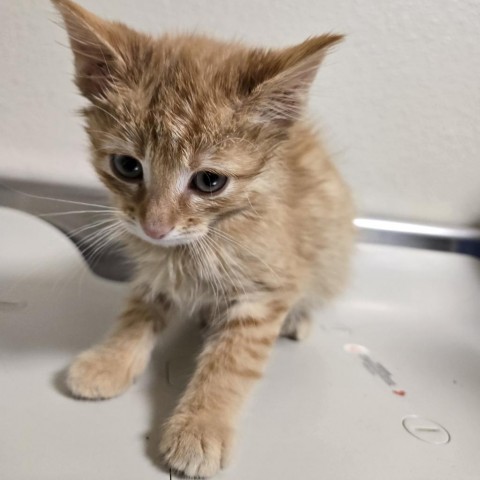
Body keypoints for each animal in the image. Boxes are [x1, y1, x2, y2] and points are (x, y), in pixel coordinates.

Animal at [52, 0, 354, 474]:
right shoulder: (154, 273)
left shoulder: (264, 291)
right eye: (127, 166)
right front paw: (111, 361)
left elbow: (232, 362)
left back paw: (298, 319)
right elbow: (135, 315)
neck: (198, 245)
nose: (154, 227)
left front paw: (202, 425)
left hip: (332, 251)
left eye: (210, 181)